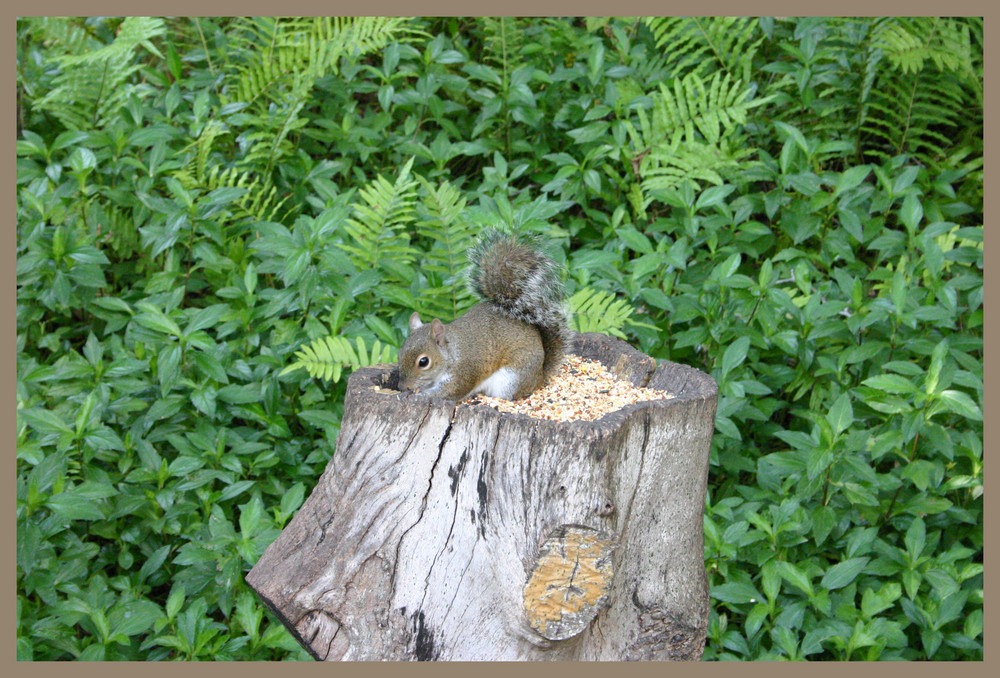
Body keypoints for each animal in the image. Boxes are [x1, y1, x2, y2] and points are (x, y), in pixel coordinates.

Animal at [396, 228, 572, 402]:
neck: (451, 353)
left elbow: (449, 391)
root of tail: (540, 376)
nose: (402, 387)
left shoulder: (463, 373)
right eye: (399, 353)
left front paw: (420, 395)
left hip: (511, 380)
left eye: (423, 362)